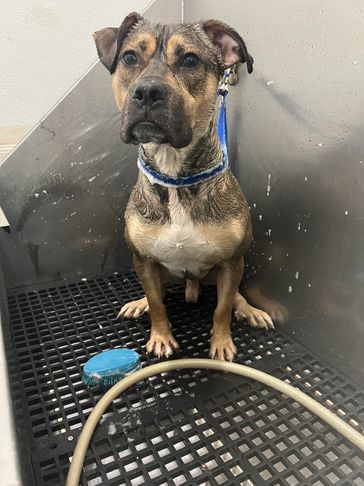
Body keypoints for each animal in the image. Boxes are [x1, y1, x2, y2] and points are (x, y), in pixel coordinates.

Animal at [94, 11, 272, 360]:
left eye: (190, 60)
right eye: (129, 57)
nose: (148, 92)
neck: (175, 175)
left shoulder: (231, 262)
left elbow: (222, 308)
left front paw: (222, 343)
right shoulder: (144, 261)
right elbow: (157, 303)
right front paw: (161, 336)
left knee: (234, 297)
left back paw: (249, 310)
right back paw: (139, 304)